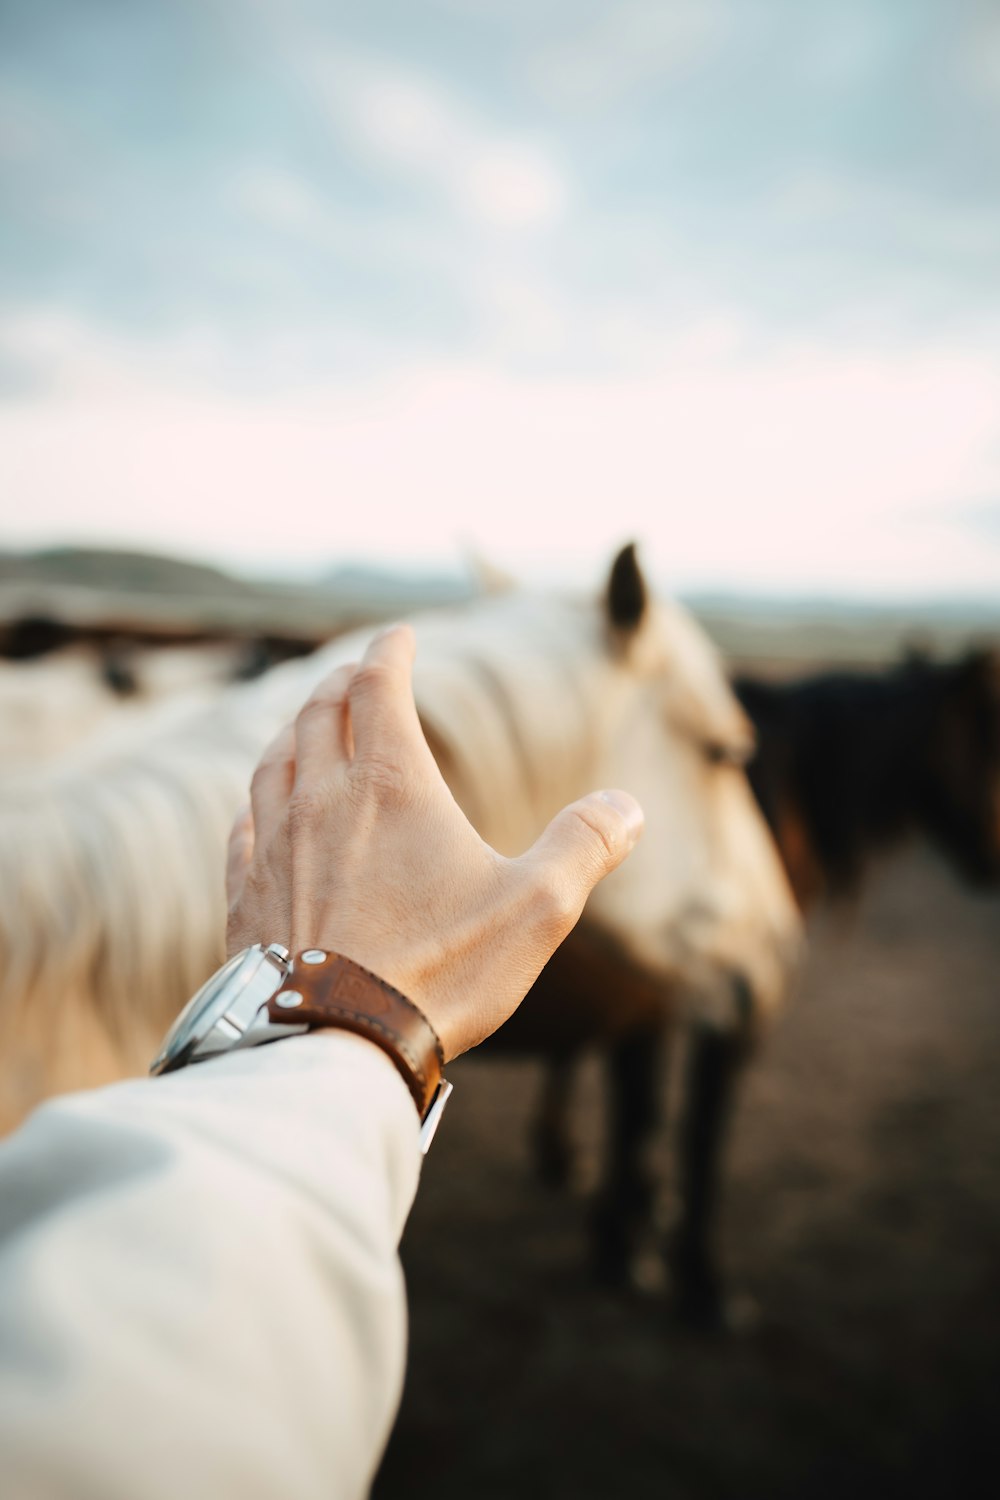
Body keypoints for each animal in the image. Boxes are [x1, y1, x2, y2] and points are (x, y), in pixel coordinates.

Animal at [521, 645, 1000, 1326]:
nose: (994, 857)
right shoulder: (725, 1001)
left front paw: (628, 1229)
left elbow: (642, 1117)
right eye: (989, 736)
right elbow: (691, 1130)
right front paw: (695, 1278)